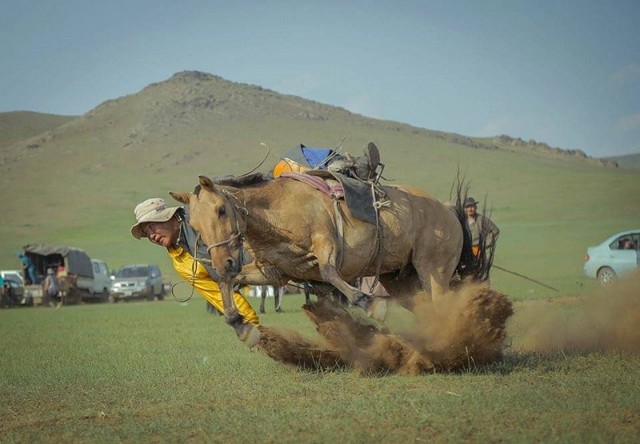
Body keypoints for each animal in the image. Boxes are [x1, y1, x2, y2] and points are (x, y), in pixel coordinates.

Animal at [168, 174, 478, 330]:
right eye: (193, 225)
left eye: (221, 210)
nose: (223, 261)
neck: (276, 213)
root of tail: (447, 208)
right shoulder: (273, 272)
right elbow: (229, 280)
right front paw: (235, 319)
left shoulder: (326, 244)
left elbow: (329, 272)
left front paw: (368, 302)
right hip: (400, 278)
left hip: (433, 271)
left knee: (441, 303)